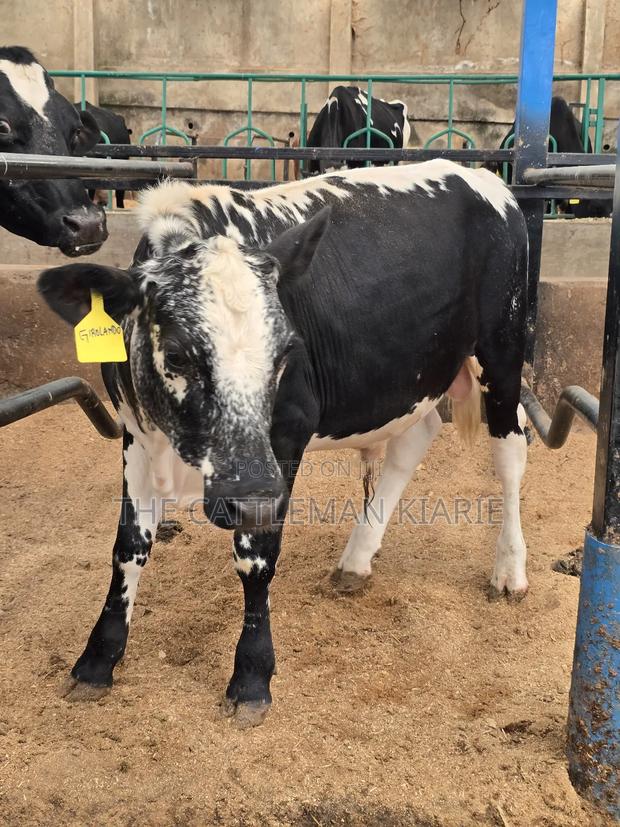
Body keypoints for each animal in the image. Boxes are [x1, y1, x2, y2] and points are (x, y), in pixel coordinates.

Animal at [38, 160, 528, 728]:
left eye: (286, 351)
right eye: (178, 355)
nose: (245, 495)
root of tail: (477, 174)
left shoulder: (285, 437)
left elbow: (256, 556)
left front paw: (252, 676)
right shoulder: (135, 434)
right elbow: (128, 547)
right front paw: (98, 659)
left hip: (503, 347)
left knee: (512, 446)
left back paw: (510, 570)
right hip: (414, 373)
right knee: (415, 439)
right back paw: (357, 559)